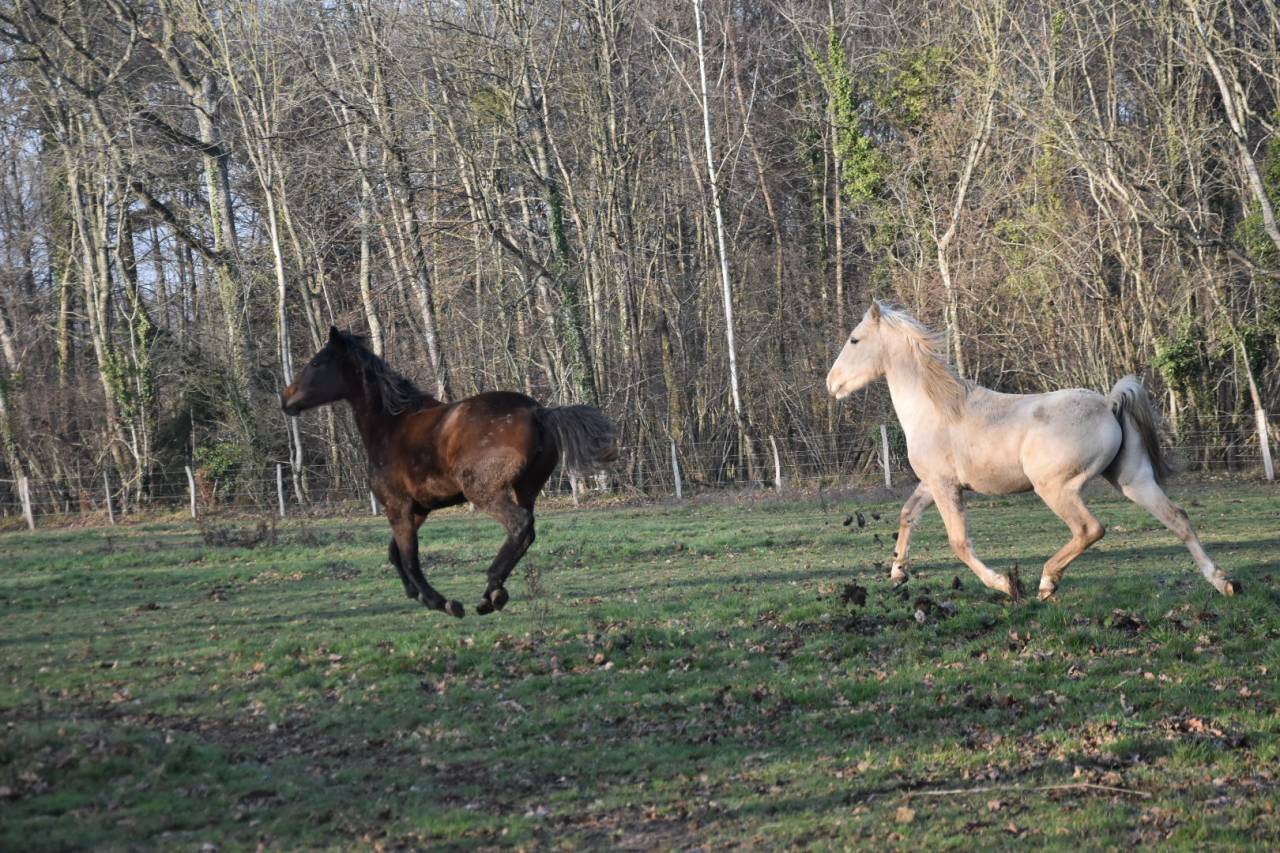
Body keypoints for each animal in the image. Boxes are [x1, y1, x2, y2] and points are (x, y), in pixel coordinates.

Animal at [281, 327, 618, 617]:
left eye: (317, 362)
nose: (286, 399)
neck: (390, 425)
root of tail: (539, 411)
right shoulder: (418, 509)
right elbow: (395, 553)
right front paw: (416, 594)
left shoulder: (398, 507)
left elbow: (409, 558)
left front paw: (440, 602)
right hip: (526, 489)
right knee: (527, 531)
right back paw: (494, 592)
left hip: (483, 492)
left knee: (520, 524)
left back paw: (490, 592)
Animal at [826, 302, 1239, 600]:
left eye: (855, 339)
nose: (831, 383)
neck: (937, 409)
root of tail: (1109, 404)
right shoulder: (932, 484)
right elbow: (907, 514)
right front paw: (898, 573)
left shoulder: (945, 487)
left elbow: (959, 543)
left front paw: (1005, 585)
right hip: (1133, 480)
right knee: (1177, 518)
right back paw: (1223, 582)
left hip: (1055, 488)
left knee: (1090, 528)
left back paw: (1046, 582)